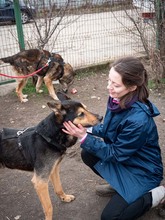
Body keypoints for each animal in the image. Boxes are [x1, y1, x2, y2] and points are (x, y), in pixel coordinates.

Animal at [0, 92, 103, 220]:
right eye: (81, 114)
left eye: (86, 108)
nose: (101, 117)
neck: (49, 137)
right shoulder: (40, 181)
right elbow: (49, 207)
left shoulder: (54, 169)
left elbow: (58, 187)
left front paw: (64, 197)